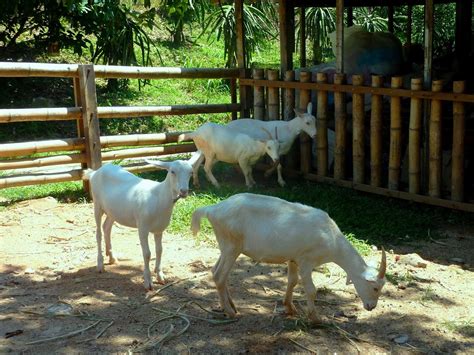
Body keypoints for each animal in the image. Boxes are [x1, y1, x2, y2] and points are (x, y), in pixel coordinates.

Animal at [89, 152, 202, 290]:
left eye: (191, 172)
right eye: (172, 171)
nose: (184, 191)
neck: (159, 197)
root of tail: (96, 172)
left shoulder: (159, 229)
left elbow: (159, 250)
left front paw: (160, 276)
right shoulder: (142, 227)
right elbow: (147, 253)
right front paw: (148, 282)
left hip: (113, 211)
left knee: (106, 228)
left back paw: (112, 257)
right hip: (97, 204)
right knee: (98, 233)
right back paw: (100, 265)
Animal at [191, 193, 386, 324]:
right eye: (375, 288)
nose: (371, 306)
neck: (332, 238)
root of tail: (211, 209)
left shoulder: (294, 258)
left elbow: (292, 281)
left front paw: (290, 308)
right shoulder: (307, 261)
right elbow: (311, 290)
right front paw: (316, 319)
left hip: (225, 246)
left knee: (215, 271)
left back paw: (231, 305)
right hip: (232, 246)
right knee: (219, 275)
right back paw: (231, 313)